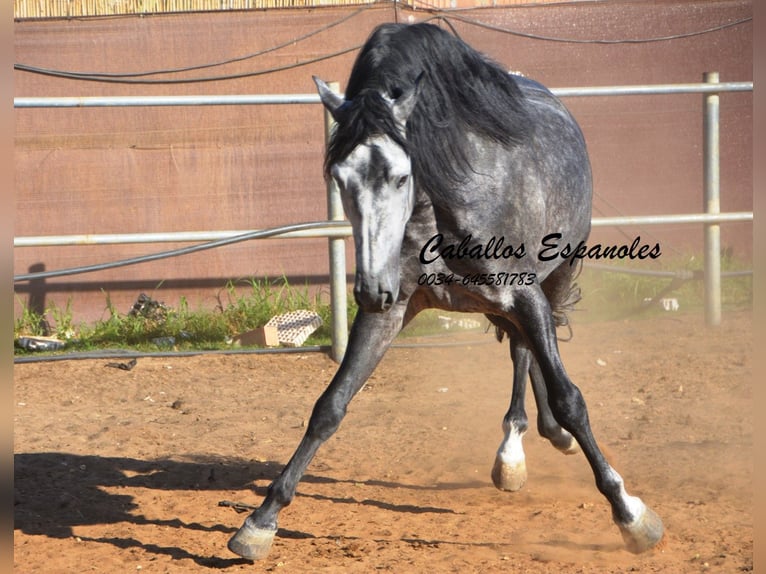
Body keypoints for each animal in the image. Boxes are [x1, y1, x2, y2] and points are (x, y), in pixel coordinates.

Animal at [225, 22, 664, 564]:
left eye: (401, 176)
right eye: (340, 178)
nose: (369, 289)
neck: (445, 204)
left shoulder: (524, 294)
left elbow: (571, 399)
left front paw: (631, 516)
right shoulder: (392, 310)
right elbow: (330, 406)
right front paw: (260, 521)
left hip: (555, 275)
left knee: (533, 349)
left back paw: (529, 446)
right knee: (522, 350)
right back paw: (517, 451)